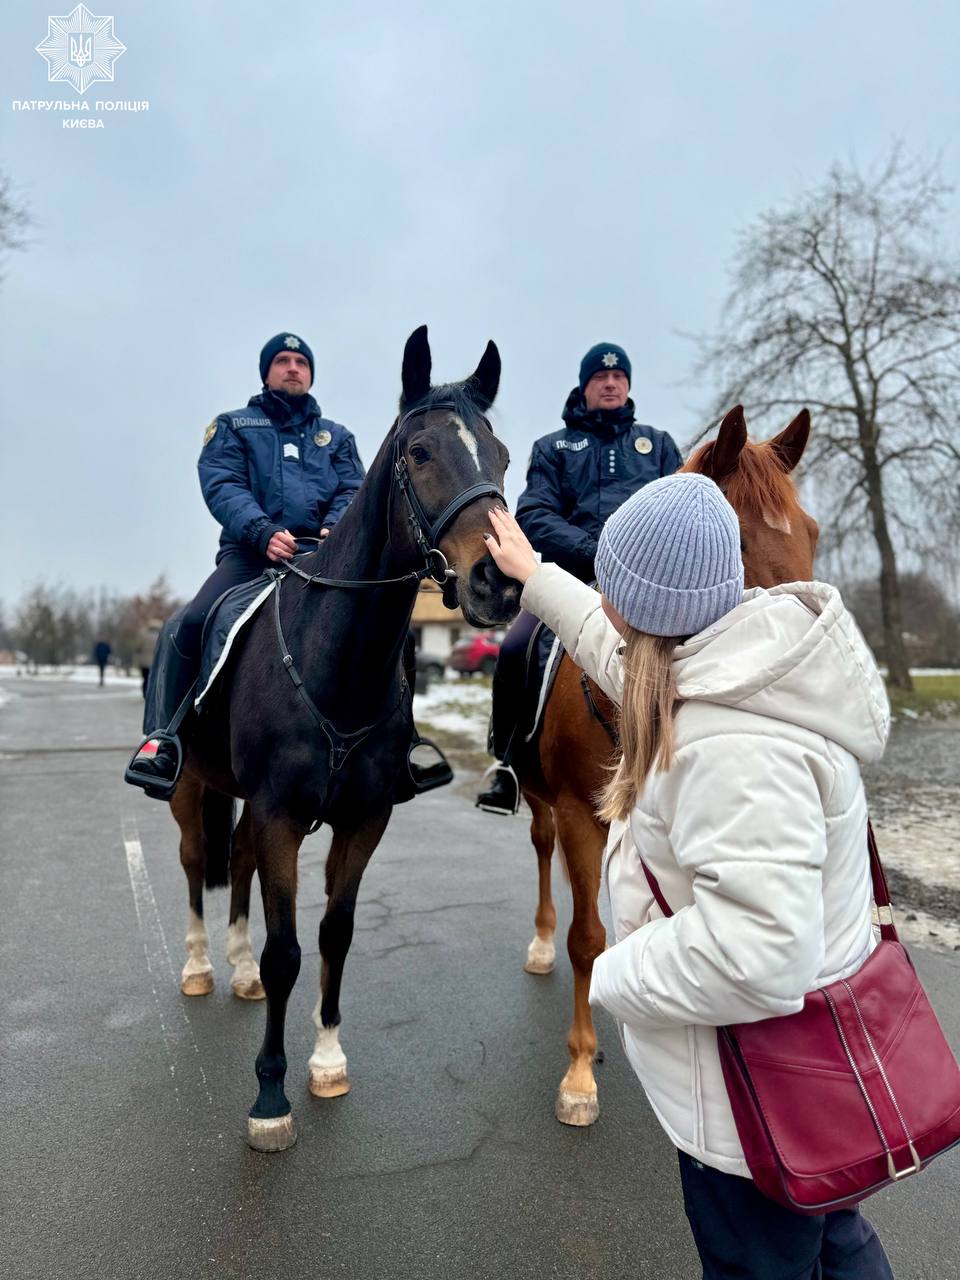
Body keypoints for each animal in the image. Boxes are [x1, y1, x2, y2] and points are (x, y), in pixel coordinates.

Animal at [168, 327, 522, 1152]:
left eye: (501, 454)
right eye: (420, 452)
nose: (499, 582)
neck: (336, 661)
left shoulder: (363, 819)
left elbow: (335, 934)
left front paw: (326, 1058)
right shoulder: (279, 816)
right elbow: (288, 951)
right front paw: (270, 1097)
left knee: (232, 862)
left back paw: (235, 968)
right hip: (190, 787)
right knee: (198, 864)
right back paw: (201, 966)